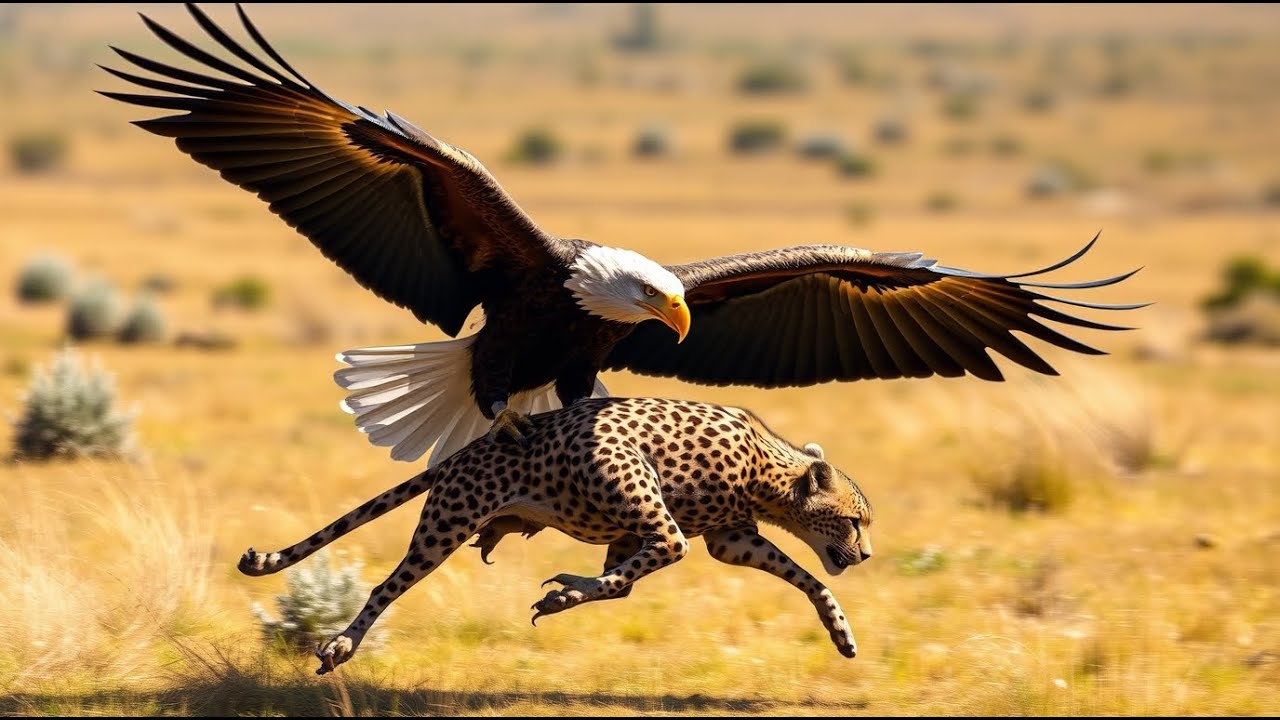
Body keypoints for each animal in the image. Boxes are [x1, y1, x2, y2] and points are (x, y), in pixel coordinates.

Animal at [238, 396, 874, 675]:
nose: (866, 554)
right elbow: (655, 556)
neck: (768, 472)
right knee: (384, 588)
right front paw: (566, 592)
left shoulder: (725, 538)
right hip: (447, 523)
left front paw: (841, 633)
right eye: (854, 521)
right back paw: (342, 644)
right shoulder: (636, 486)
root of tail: (474, 443)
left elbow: (808, 578)